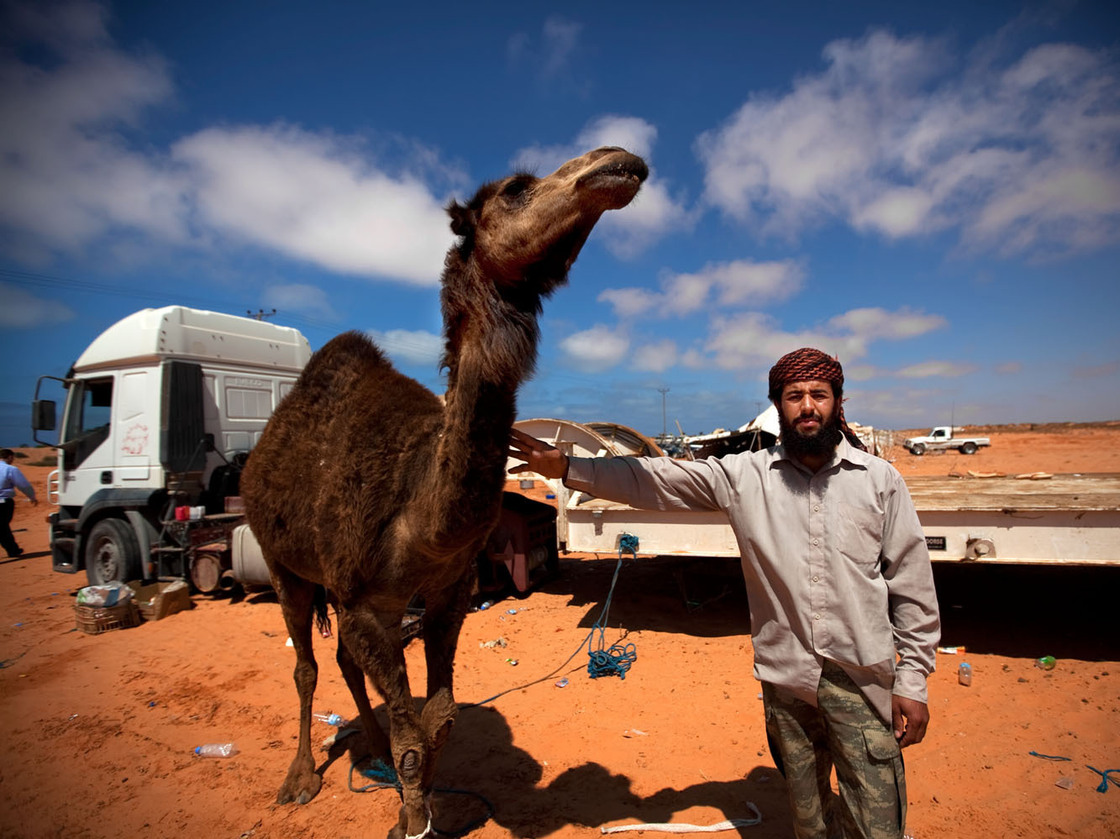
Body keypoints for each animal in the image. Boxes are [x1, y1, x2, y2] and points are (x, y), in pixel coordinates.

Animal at [240, 146, 647, 839]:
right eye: (515, 189)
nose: (617, 161)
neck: (420, 516)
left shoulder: (447, 594)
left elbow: (439, 719)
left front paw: (422, 802)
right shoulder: (368, 601)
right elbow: (412, 730)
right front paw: (409, 818)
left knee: (344, 664)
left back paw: (371, 746)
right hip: (282, 564)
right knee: (306, 665)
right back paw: (300, 778)